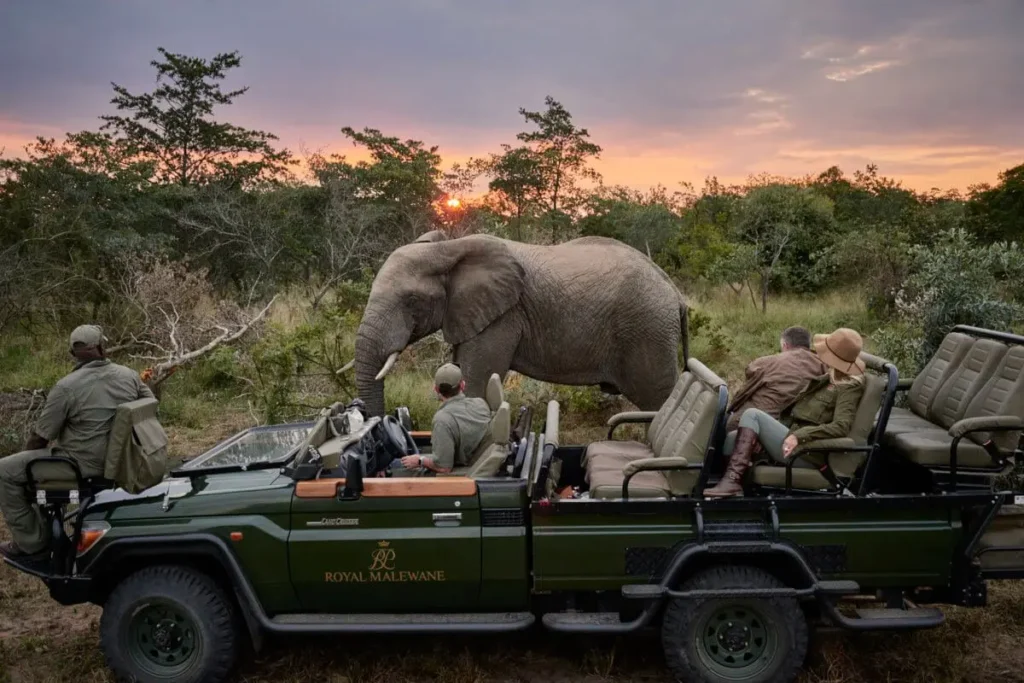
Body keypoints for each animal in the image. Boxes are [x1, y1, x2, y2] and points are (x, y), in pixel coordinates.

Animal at [353, 230, 690, 417]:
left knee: (659, 400)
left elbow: (476, 382)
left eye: (411, 301)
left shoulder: (503, 317)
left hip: (648, 330)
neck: (448, 248)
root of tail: (675, 291)